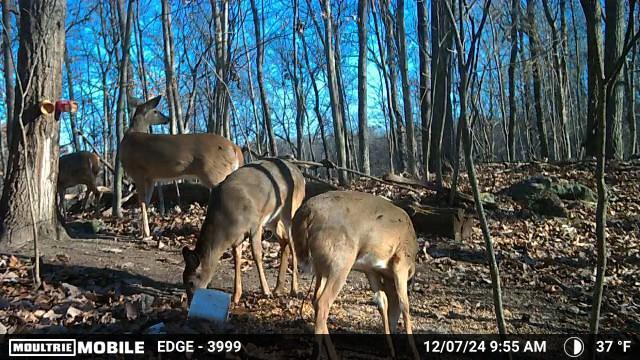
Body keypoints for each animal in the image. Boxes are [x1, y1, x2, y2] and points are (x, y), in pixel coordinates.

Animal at [119, 95, 242, 239]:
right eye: (156, 111)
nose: (167, 118)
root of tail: (235, 148)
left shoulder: (139, 171)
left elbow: (142, 202)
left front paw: (145, 234)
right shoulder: (151, 177)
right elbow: (147, 202)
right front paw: (142, 232)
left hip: (215, 172)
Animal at [184, 158, 306, 304]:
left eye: (190, 282)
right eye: (183, 281)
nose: (190, 303)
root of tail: (301, 175)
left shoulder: (255, 223)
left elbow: (257, 254)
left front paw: (266, 292)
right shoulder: (237, 237)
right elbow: (237, 258)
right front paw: (236, 296)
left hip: (290, 209)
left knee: (292, 243)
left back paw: (294, 289)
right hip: (272, 219)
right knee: (284, 241)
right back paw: (278, 288)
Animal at [292, 190, 422, 358]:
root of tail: (306, 214)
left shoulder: (371, 270)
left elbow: (382, 302)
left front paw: (391, 350)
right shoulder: (401, 261)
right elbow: (404, 304)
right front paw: (414, 352)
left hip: (322, 268)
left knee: (315, 299)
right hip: (340, 262)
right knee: (323, 303)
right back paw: (322, 354)